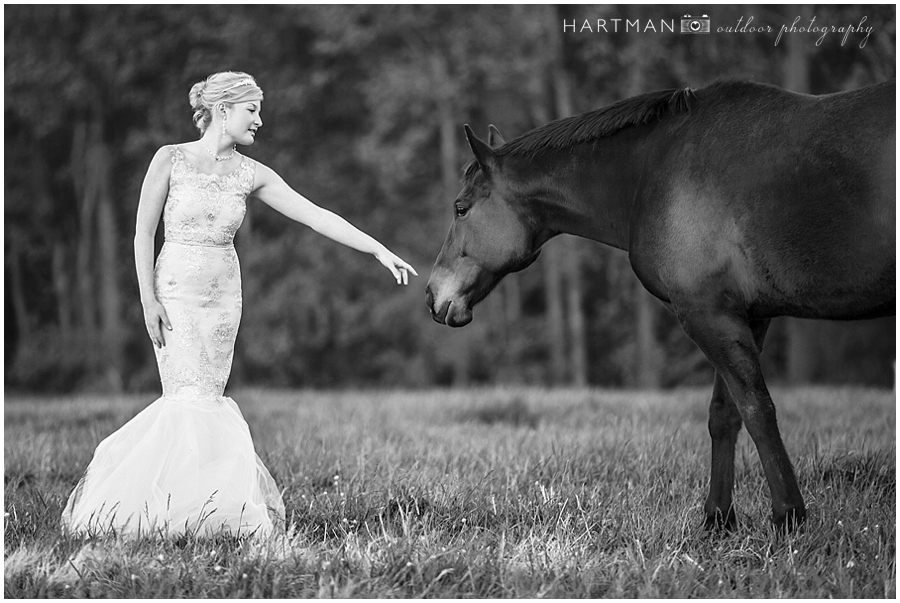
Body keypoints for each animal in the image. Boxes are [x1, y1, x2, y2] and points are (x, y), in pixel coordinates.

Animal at [424, 80, 892, 532]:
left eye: (461, 209)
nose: (431, 294)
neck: (652, 172)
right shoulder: (747, 315)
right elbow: (725, 414)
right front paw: (718, 521)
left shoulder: (706, 312)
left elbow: (756, 410)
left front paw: (787, 518)